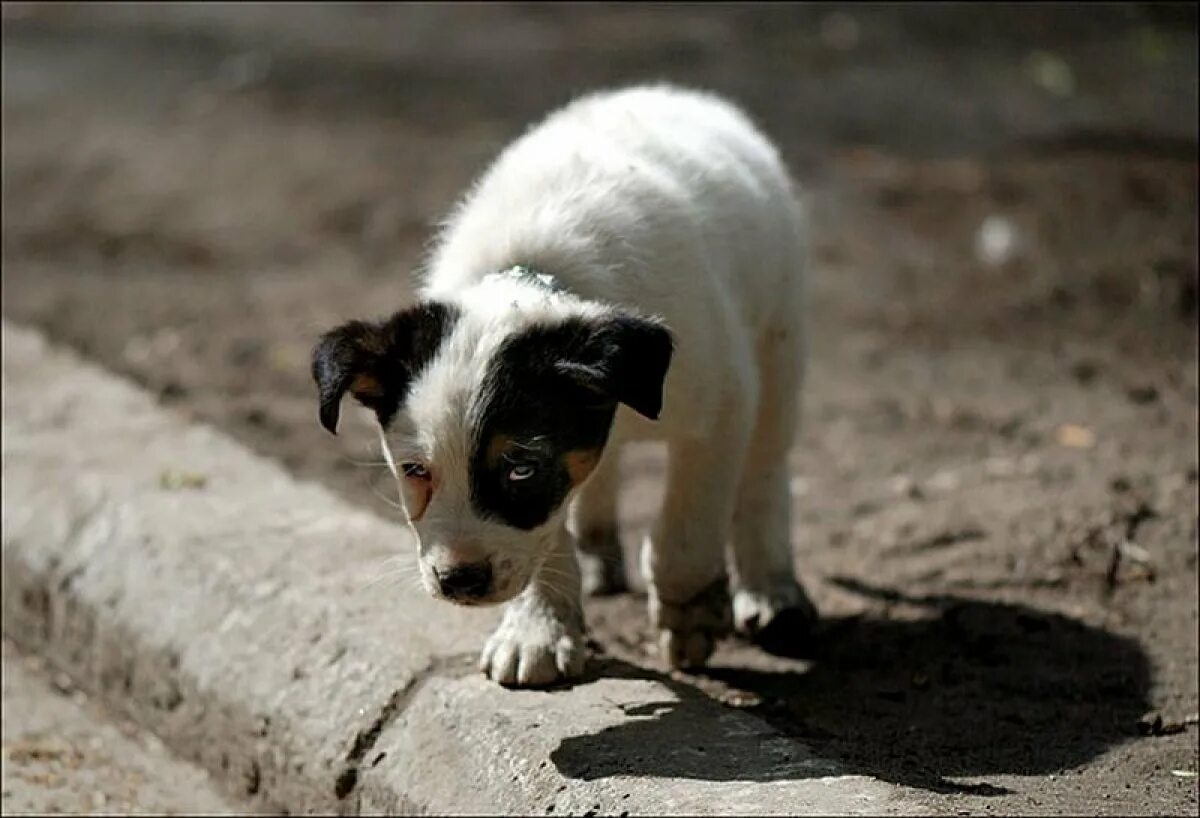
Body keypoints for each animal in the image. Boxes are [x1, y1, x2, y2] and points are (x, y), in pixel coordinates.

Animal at [312, 84, 816, 681]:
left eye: (520, 468)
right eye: (414, 471)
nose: (460, 582)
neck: (536, 274)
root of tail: (667, 92)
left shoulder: (720, 406)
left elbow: (686, 534)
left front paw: (690, 614)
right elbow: (550, 531)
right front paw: (540, 630)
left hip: (779, 341)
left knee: (764, 469)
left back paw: (770, 591)